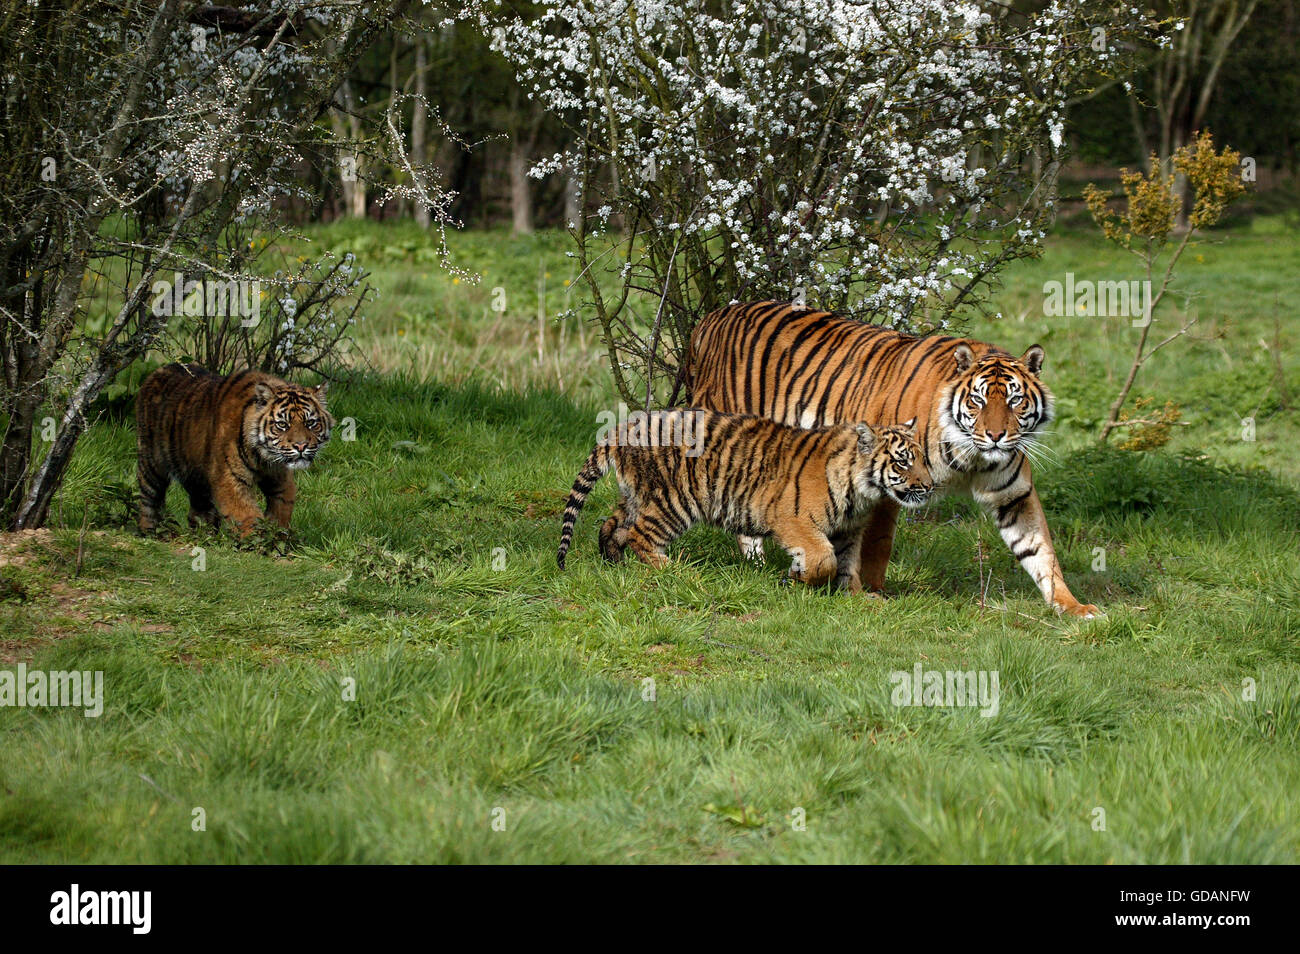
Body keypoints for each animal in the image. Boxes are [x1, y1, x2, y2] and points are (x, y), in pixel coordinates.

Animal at [686, 302, 1102, 623]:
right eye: (978, 400)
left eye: (1015, 401)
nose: (997, 436)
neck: (970, 456)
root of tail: (713, 316)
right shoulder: (890, 485)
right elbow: (876, 545)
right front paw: (869, 592)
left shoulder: (1014, 495)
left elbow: (1040, 551)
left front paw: (1073, 607)